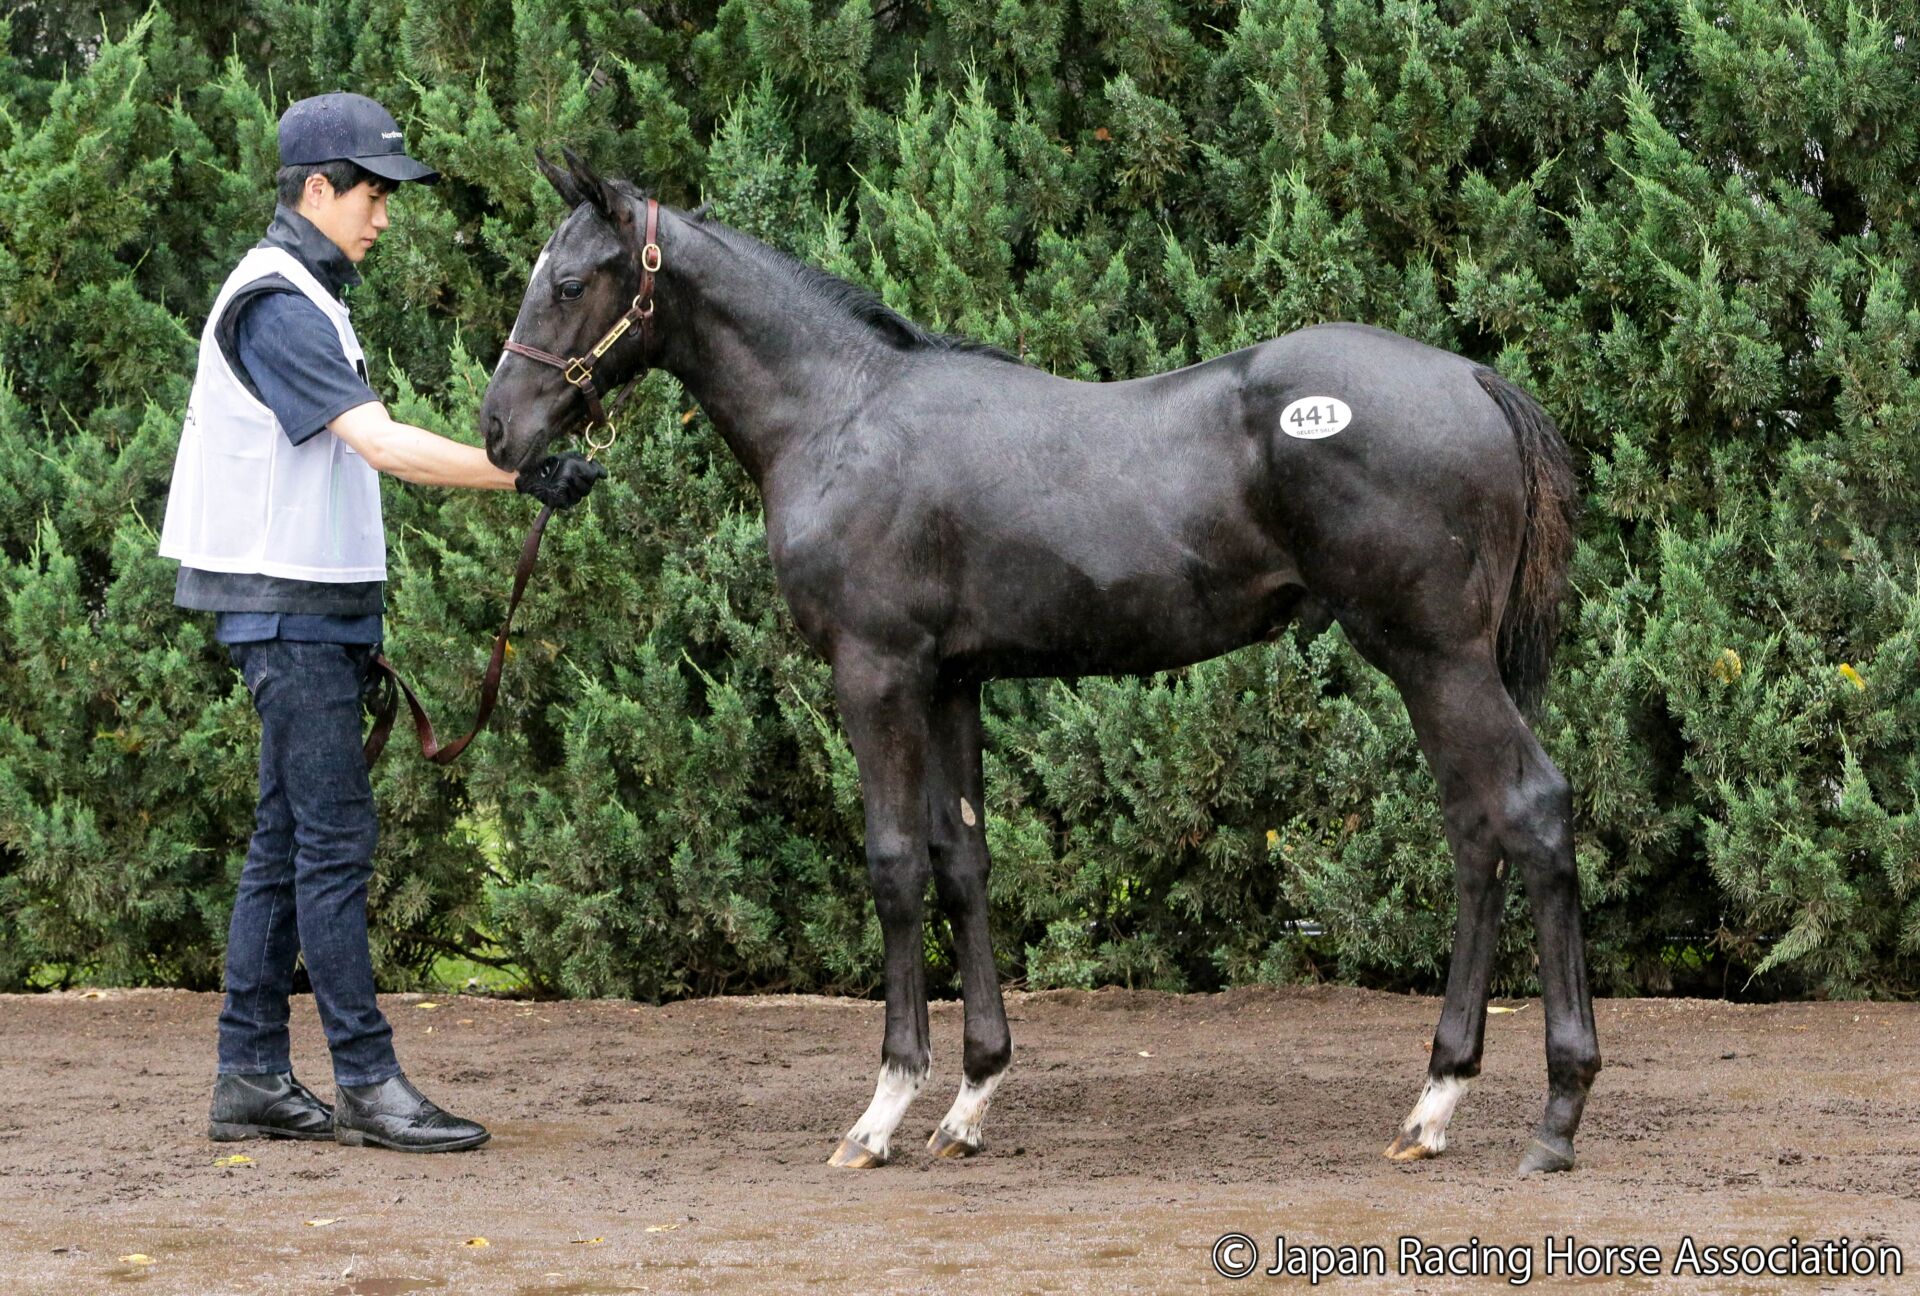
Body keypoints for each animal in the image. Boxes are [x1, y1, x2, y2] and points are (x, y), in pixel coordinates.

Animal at [478, 150, 1598, 1176]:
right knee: (1476, 831)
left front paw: (883, 1112)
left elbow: (894, 864)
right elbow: (962, 861)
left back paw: (1555, 1116)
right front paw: (971, 1099)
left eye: (569, 283)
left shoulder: (876, 672)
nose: (501, 434)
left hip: (1432, 653)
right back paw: (1436, 1103)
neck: (842, 412)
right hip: (1432, 663)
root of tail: (1473, 378)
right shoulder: (952, 681)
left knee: (1531, 810)